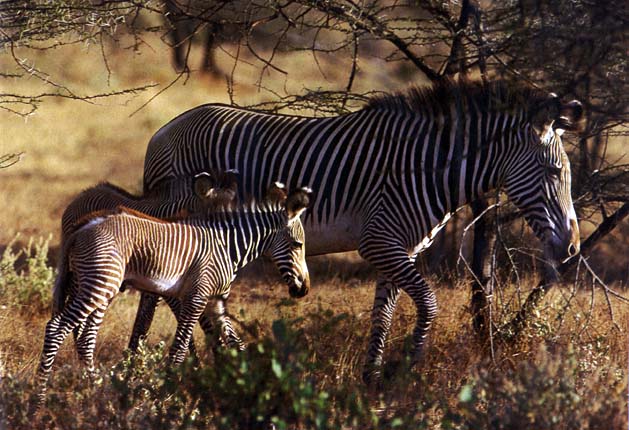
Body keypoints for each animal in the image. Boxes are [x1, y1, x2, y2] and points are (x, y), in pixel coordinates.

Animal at [37, 184, 312, 404]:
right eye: (298, 245)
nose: (304, 289)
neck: (228, 246)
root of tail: (82, 226)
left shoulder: (216, 303)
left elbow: (236, 344)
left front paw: (256, 385)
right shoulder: (196, 297)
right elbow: (179, 349)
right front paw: (165, 395)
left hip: (92, 285)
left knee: (84, 336)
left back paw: (95, 390)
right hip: (98, 285)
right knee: (57, 328)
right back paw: (38, 400)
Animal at [144, 79, 584, 382]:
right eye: (554, 172)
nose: (573, 248)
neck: (425, 169)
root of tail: (163, 130)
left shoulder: (399, 248)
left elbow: (384, 314)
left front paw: (373, 379)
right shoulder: (379, 243)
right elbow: (428, 303)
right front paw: (406, 369)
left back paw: (208, 359)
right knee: (171, 294)